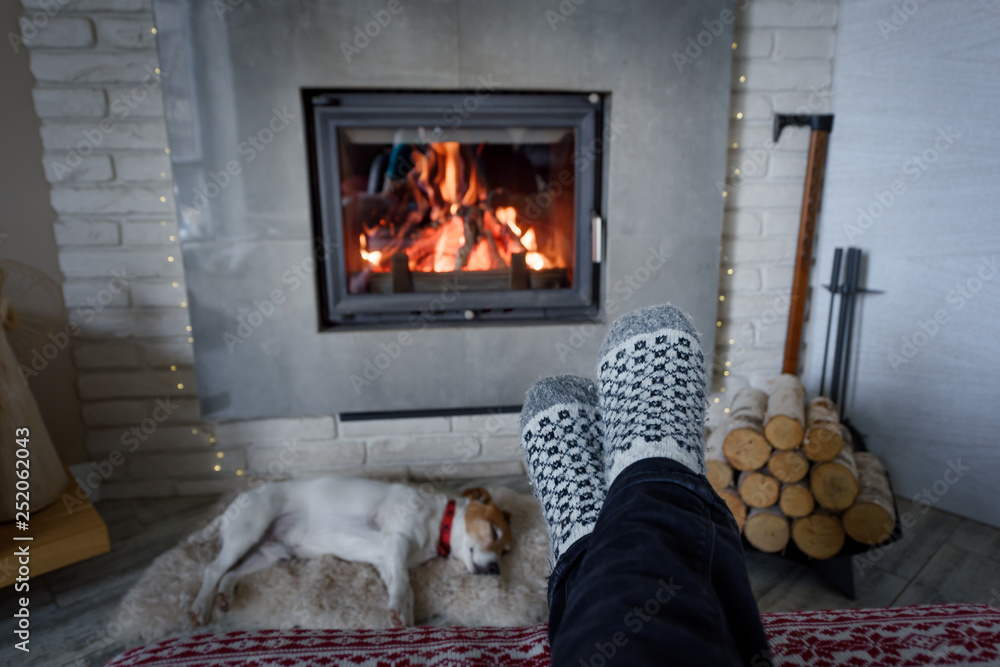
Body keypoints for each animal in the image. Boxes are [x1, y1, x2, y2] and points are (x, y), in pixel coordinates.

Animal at [190, 478, 512, 628]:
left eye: (506, 552)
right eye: (494, 532)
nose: (495, 570)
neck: (438, 523)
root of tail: (233, 505)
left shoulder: (386, 559)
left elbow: (404, 587)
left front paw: (405, 617)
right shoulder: (395, 540)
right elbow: (404, 584)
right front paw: (398, 610)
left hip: (269, 553)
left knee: (229, 573)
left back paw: (224, 596)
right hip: (247, 534)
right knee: (212, 569)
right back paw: (200, 607)